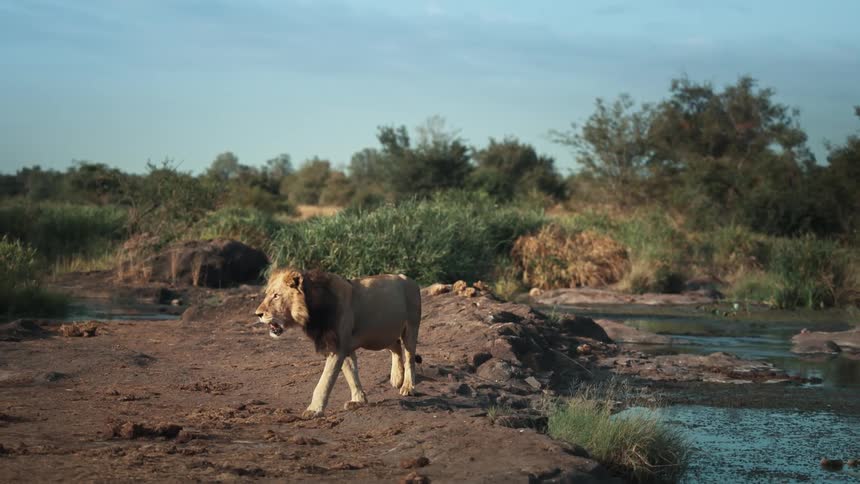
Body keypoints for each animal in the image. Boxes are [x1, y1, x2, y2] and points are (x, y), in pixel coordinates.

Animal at [255, 268, 421, 418]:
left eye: (276, 295)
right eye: (267, 294)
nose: (258, 314)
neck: (312, 310)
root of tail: (408, 278)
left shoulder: (337, 348)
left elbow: (325, 382)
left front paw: (314, 410)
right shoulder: (343, 347)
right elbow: (351, 374)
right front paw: (358, 400)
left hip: (409, 329)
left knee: (409, 358)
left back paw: (407, 386)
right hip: (382, 334)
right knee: (396, 347)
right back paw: (396, 378)